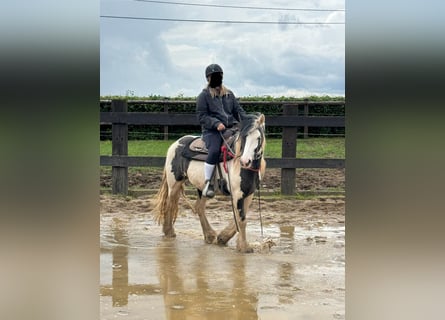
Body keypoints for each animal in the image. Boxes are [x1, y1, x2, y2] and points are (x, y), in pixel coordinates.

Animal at [153, 112, 264, 252]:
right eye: (244, 137)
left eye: (258, 138)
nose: (245, 161)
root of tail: (176, 143)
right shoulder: (237, 194)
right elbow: (241, 220)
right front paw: (244, 247)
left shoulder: (248, 193)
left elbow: (239, 219)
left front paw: (223, 238)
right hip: (174, 184)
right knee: (170, 203)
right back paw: (169, 232)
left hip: (202, 188)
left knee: (199, 207)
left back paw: (209, 235)